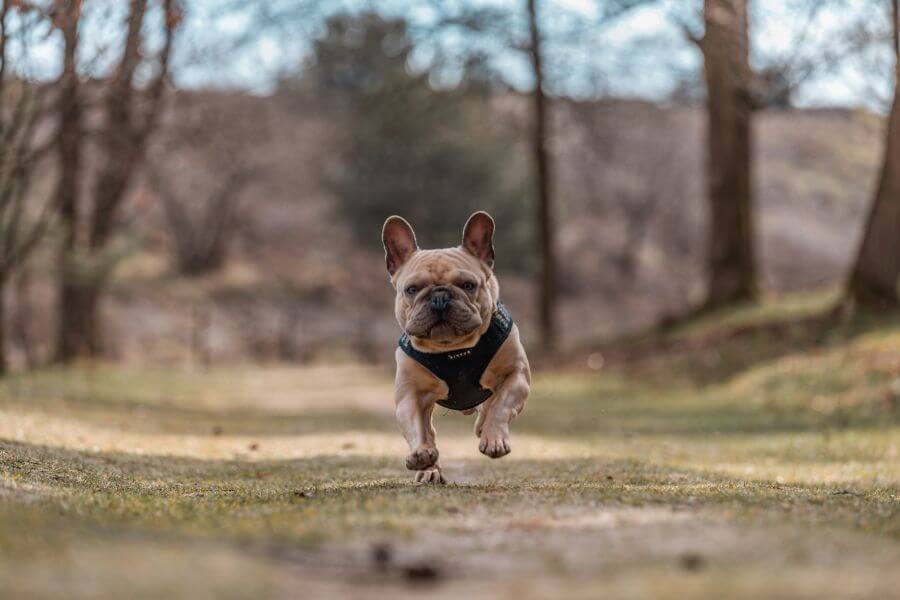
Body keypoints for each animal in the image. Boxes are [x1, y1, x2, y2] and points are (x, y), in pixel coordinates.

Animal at [384, 211, 532, 482]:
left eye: (468, 285)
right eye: (411, 289)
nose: (440, 298)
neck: (452, 349)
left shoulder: (516, 375)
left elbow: (501, 404)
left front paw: (494, 439)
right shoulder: (410, 395)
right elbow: (416, 427)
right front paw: (421, 454)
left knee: (489, 407)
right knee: (430, 431)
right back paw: (429, 469)